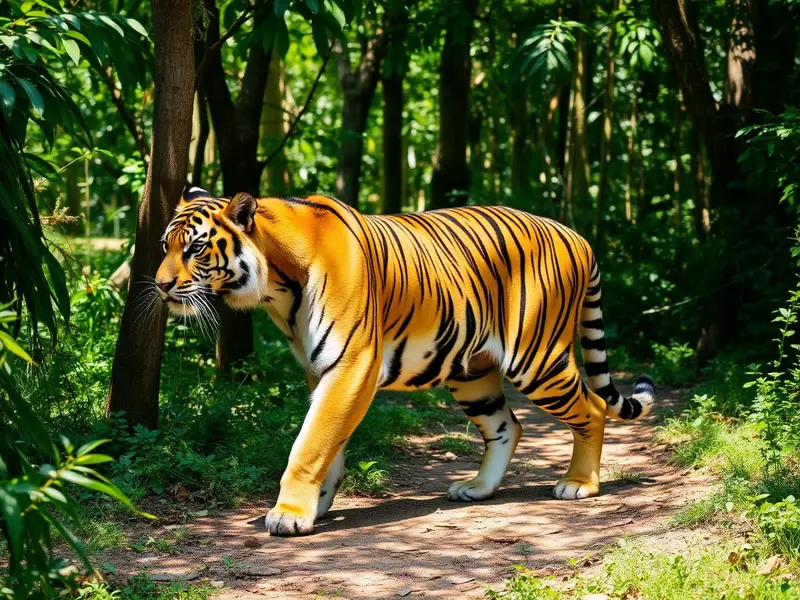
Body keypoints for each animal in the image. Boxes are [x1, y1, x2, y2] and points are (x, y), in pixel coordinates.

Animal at [154, 185, 655, 536]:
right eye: (165, 246)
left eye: (195, 248)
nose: (160, 285)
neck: (278, 287)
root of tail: (578, 236)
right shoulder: (321, 371)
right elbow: (329, 441)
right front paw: (316, 505)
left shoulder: (351, 365)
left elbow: (310, 442)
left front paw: (289, 513)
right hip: (474, 373)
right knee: (507, 426)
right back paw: (477, 488)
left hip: (537, 359)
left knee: (592, 408)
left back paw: (580, 484)